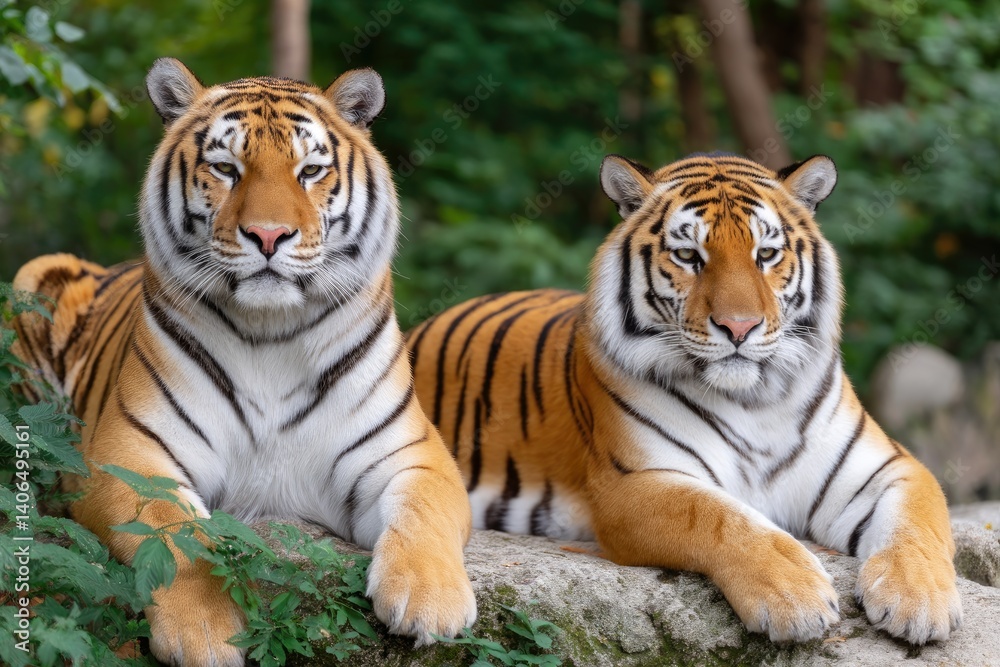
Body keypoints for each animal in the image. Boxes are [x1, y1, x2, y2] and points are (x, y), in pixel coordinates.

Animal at [11, 58, 476, 667]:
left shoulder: (413, 453)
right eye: (226, 168)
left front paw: (429, 601)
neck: (271, 334)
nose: (269, 235)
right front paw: (206, 633)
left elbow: (425, 511)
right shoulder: (129, 454)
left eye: (310, 171)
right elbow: (173, 534)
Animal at [406, 152, 963, 645]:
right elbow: (720, 518)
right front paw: (796, 596)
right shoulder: (634, 485)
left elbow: (916, 525)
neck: (757, 400)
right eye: (689, 256)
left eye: (766, 255)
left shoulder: (888, 468)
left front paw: (919, 601)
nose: (739, 327)